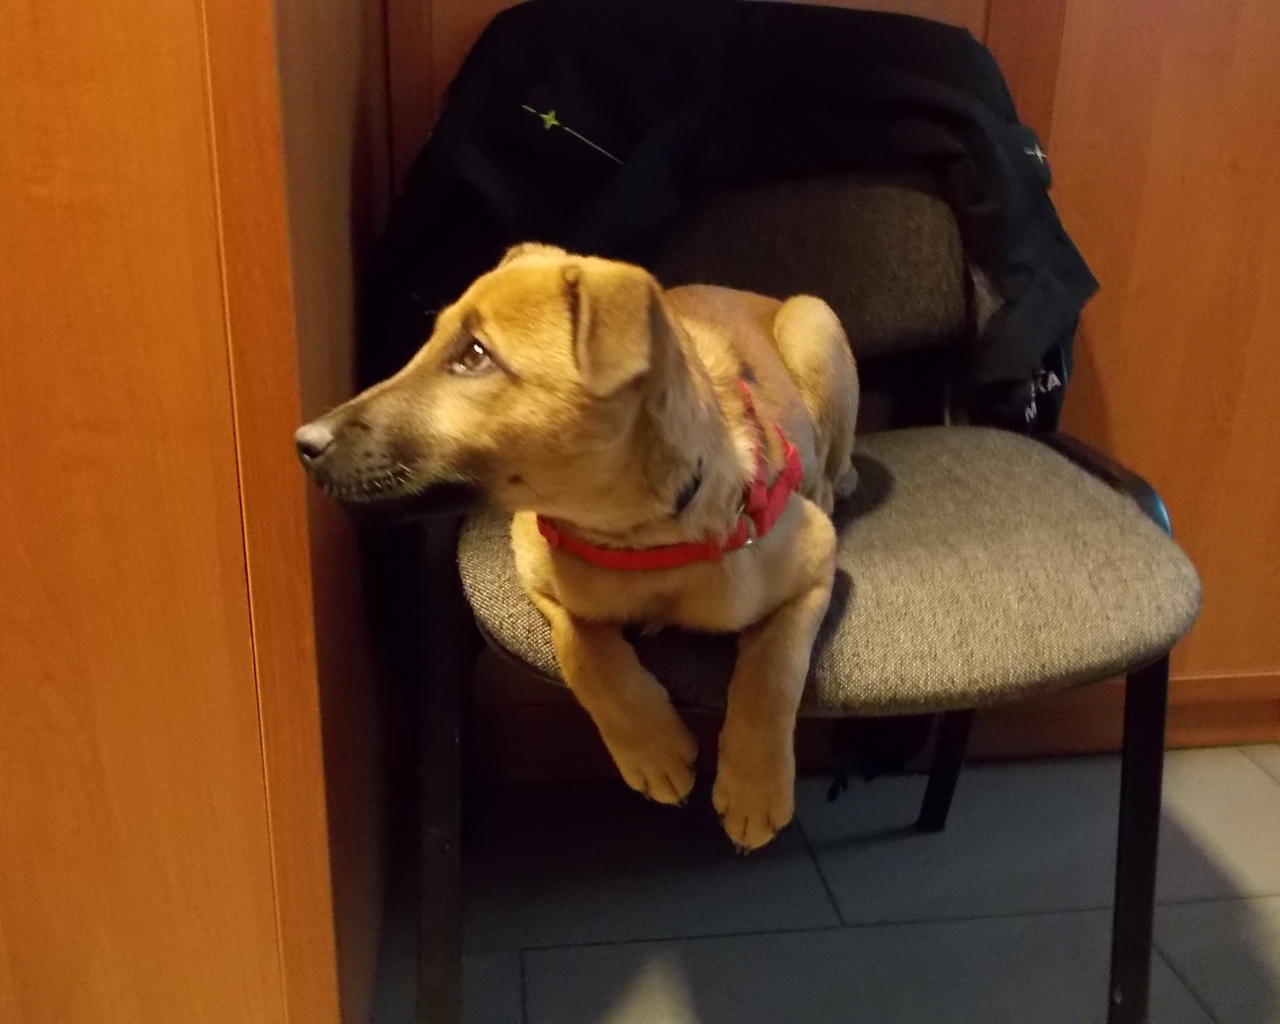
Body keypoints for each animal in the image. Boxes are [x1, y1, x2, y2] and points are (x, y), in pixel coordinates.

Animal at [296, 243, 858, 850]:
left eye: (475, 355)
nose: (303, 442)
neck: (638, 539)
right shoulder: (535, 564)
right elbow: (585, 652)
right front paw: (653, 749)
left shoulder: (815, 566)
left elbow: (773, 672)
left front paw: (755, 789)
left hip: (816, 323)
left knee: (833, 467)